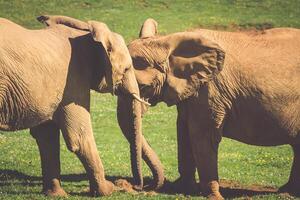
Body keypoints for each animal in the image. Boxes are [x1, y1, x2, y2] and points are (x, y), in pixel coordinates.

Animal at [0, 16, 151, 197]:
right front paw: (107, 190)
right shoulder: (74, 79)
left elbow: (46, 135)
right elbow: (79, 136)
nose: (136, 186)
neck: (86, 34)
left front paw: (56, 195)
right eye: (127, 69)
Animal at [115, 18, 300, 198]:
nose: (138, 186)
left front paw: (213, 196)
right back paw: (286, 191)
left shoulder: (211, 90)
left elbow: (202, 135)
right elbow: (183, 130)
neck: (166, 41)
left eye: (144, 87)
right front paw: (182, 189)